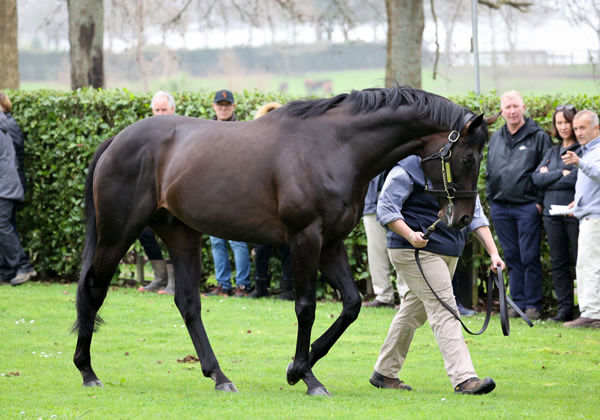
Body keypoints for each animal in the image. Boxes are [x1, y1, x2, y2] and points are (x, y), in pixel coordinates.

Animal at [75, 84, 496, 394]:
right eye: (468, 158)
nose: (461, 218)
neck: (334, 146)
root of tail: (117, 140)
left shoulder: (331, 243)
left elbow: (351, 304)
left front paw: (299, 365)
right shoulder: (305, 238)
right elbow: (305, 306)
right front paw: (307, 377)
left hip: (180, 234)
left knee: (188, 303)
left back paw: (220, 377)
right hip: (118, 233)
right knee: (94, 288)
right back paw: (88, 371)